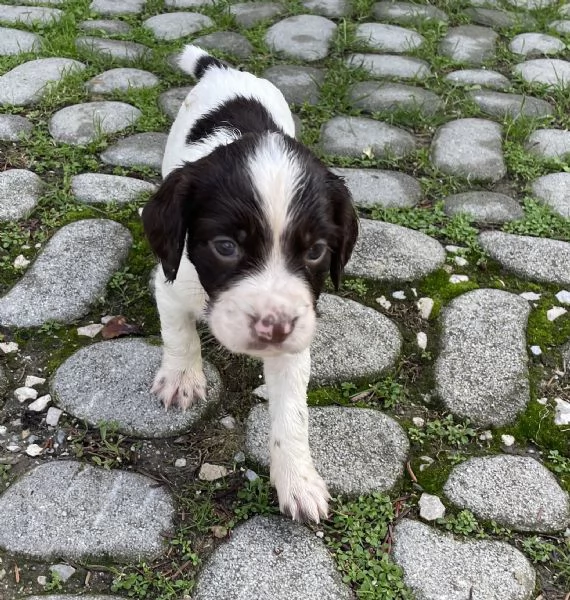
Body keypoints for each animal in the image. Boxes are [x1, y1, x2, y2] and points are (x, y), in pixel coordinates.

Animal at [142, 45, 356, 520]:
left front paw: (297, 477)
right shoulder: (170, 282)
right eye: (225, 247)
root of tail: (223, 69)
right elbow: (179, 333)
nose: (273, 328)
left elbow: (292, 413)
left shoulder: (296, 334)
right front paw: (182, 376)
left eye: (316, 251)